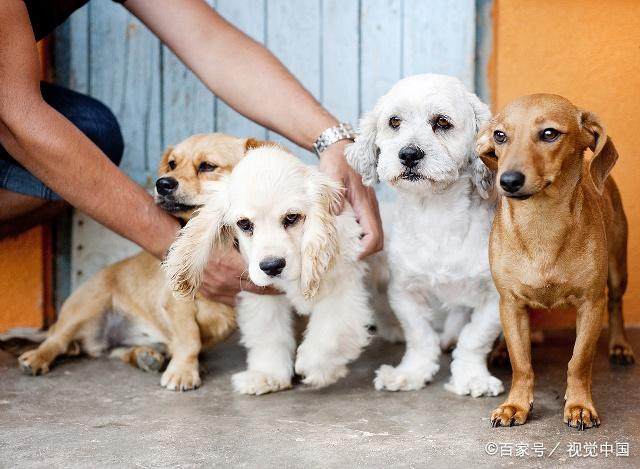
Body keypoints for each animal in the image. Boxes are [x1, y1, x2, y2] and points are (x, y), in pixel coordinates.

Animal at [18, 133, 262, 392]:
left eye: (207, 166)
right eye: (172, 164)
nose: (162, 183)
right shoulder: (177, 304)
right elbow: (190, 340)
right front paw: (183, 372)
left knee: (116, 351)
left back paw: (146, 356)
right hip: (86, 306)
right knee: (57, 340)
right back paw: (36, 358)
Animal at [165, 144, 372, 394]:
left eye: (292, 217)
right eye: (244, 224)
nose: (271, 266)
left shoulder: (341, 285)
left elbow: (331, 332)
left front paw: (316, 368)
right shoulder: (262, 294)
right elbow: (268, 333)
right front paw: (267, 375)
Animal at [478, 94, 632, 428]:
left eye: (549, 133)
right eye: (500, 135)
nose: (508, 180)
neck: (541, 224)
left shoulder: (591, 304)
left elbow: (579, 362)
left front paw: (579, 405)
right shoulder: (511, 303)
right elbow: (521, 363)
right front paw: (515, 405)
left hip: (618, 272)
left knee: (616, 306)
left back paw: (620, 345)